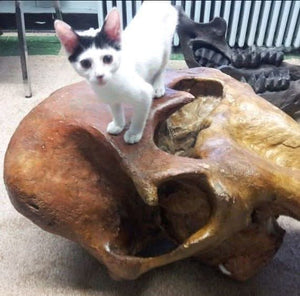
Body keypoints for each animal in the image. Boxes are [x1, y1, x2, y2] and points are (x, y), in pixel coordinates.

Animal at [54, 1, 178, 145]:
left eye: (108, 58)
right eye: (85, 63)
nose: (99, 75)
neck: (111, 84)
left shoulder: (144, 94)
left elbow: (139, 116)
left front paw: (133, 133)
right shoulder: (111, 98)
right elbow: (116, 110)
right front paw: (118, 124)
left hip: (167, 47)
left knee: (162, 67)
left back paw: (158, 86)